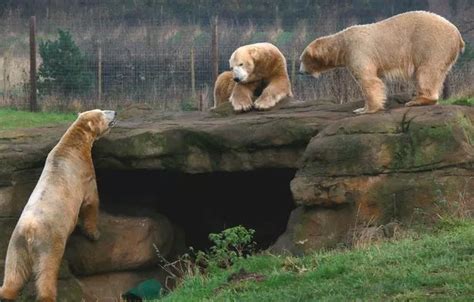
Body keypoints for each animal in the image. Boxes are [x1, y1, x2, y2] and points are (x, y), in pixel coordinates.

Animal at [0, 109, 117, 300]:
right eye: (102, 112)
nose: (115, 112)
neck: (71, 147)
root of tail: (29, 230)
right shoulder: (84, 173)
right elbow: (91, 202)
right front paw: (94, 234)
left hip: (16, 243)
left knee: (14, 272)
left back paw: (6, 293)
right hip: (48, 241)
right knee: (47, 269)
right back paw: (48, 296)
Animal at [300, 10, 466, 114]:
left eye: (302, 60)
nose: (300, 72)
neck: (342, 43)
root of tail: (458, 35)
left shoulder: (358, 51)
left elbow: (369, 81)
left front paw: (364, 110)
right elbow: (377, 79)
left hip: (432, 44)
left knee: (426, 72)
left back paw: (417, 100)